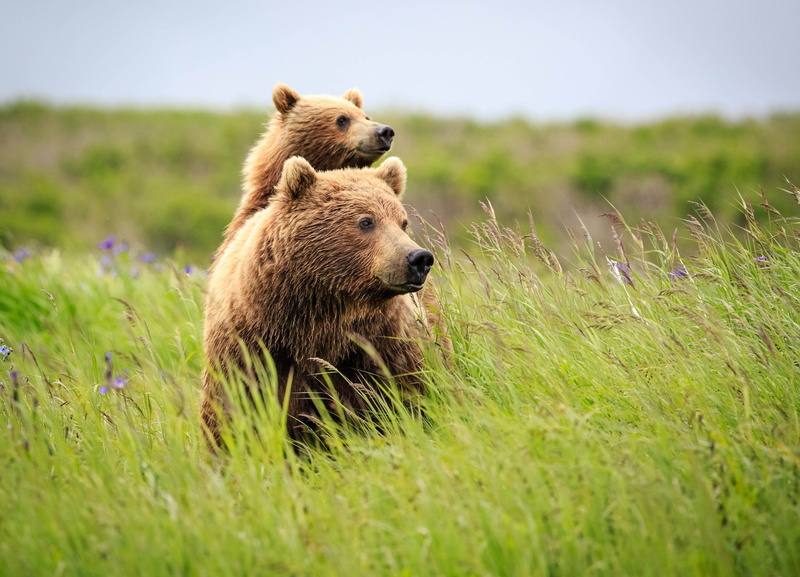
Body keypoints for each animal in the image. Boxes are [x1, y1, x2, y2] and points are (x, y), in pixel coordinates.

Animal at [200, 156, 434, 448]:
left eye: (403, 222)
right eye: (366, 221)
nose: (419, 259)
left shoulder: (380, 343)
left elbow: (404, 395)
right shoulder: (251, 349)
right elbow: (234, 409)